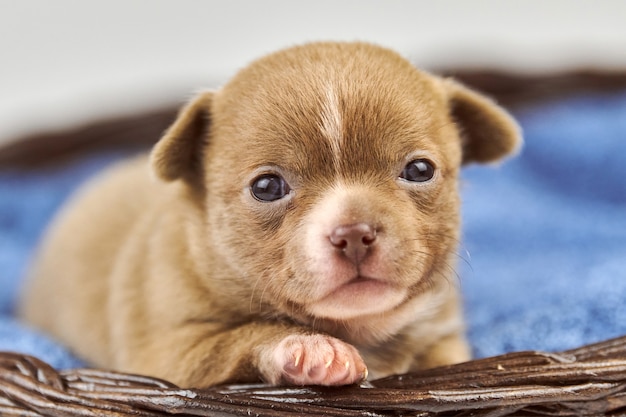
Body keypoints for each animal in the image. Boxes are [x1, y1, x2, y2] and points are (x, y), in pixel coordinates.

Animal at [19, 42, 520, 386]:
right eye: (266, 187)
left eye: (419, 170)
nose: (354, 233)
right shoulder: (167, 356)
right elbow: (240, 337)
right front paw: (311, 350)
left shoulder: (443, 336)